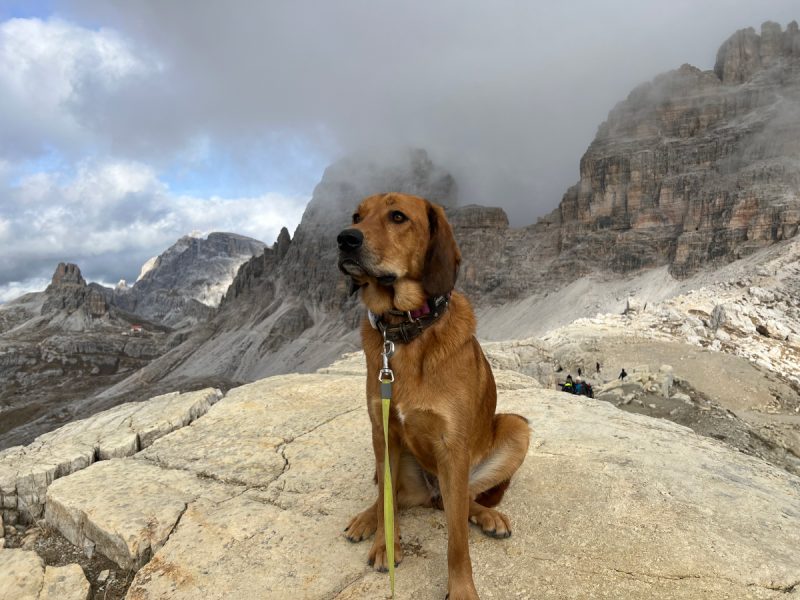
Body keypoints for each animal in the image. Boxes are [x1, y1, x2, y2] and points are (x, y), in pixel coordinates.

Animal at [338, 192, 532, 600]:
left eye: (398, 217)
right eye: (357, 216)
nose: (345, 238)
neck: (405, 330)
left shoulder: (452, 446)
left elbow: (457, 539)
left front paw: (461, 589)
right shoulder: (383, 433)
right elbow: (387, 504)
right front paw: (385, 544)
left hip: (513, 429)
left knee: (459, 502)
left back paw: (488, 515)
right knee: (392, 497)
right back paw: (365, 520)